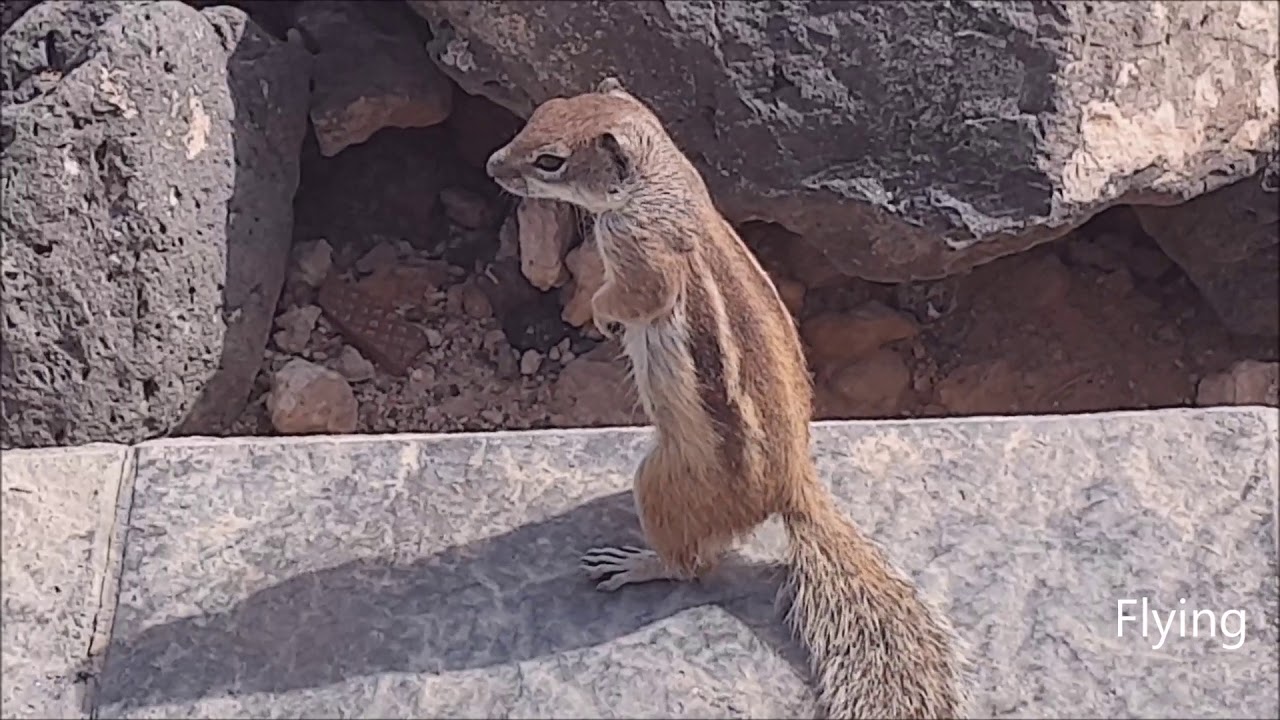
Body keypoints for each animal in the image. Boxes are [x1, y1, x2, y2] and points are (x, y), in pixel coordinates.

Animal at [485, 77, 973, 719]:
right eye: (542, 112)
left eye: (550, 161)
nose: (493, 164)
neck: (660, 185)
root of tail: (792, 485)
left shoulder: (641, 255)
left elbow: (633, 298)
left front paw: (599, 312)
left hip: (663, 483)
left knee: (692, 565)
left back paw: (636, 563)